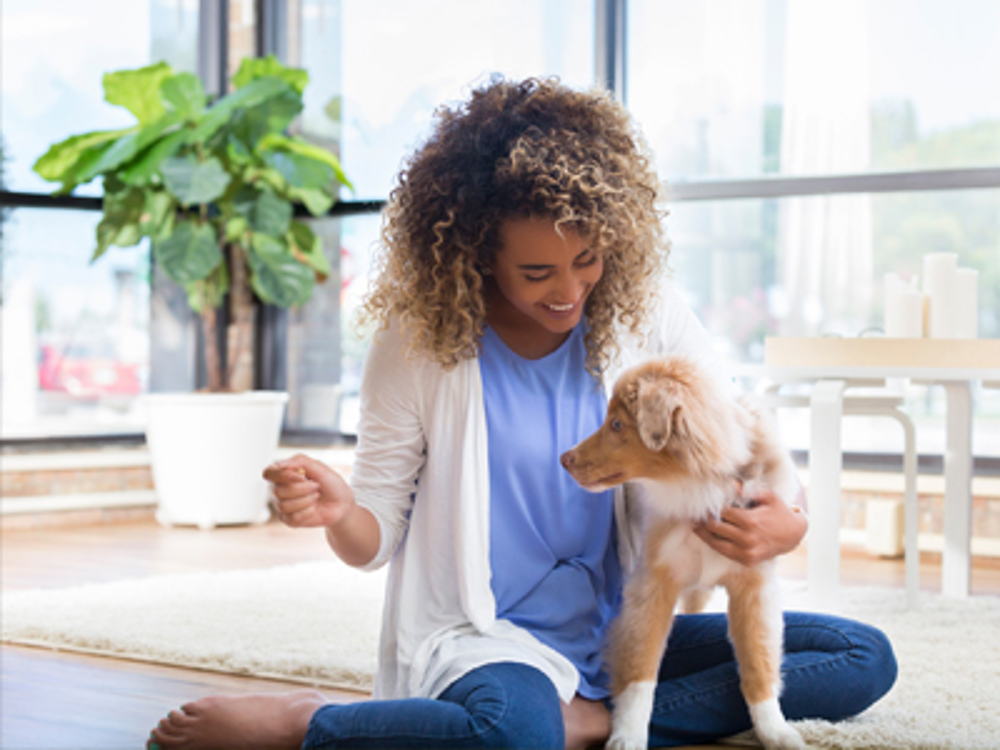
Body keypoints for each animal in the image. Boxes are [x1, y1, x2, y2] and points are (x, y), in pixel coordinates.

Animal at [564, 356, 804, 750]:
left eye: (617, 424)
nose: (563, 459)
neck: (698, 486)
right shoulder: (652, 584)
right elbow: (641, 672)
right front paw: (628, 735)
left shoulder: (754, 585)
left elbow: (758, 662)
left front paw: (776, 731)